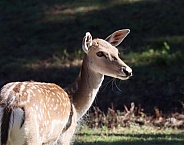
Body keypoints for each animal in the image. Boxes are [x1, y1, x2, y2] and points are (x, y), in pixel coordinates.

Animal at [0, 28, 132, 144]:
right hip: (32, 136)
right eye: (100, 53)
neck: (76, 106)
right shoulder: (65, 135)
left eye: (116, 51)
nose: (128, 71)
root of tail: (9, 104)